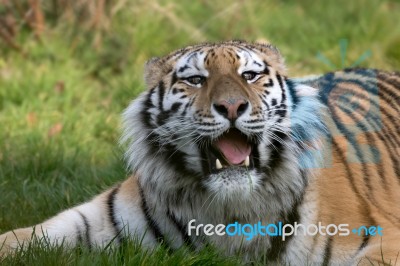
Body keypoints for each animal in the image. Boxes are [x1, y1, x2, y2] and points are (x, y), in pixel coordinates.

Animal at [0, 40, 400, 266]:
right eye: (195, 80)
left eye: (249, 76)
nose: (232, 106)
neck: (228, 210)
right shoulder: (101, 219)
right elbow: (25, 235)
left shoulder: (383, 238)